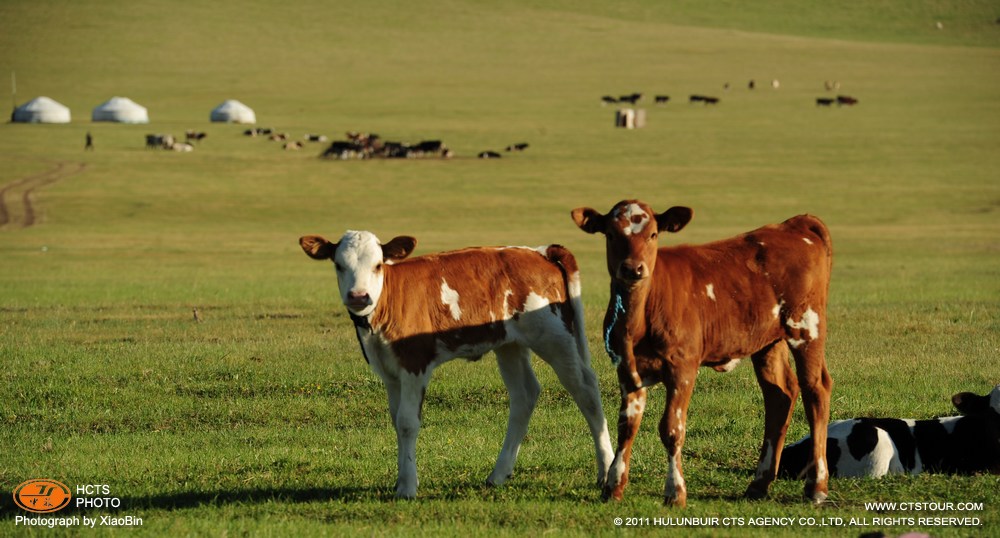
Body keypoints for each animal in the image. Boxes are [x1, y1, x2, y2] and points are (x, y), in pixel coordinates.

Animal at [296, 230, 612, 498]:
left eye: (377, 265)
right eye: (338, 265)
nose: (359, 296)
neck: (385, 307)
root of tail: (537, 251)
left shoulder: (414, 363)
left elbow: (407, 422)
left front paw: (407, 487)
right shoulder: (390, 372)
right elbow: (396, 420)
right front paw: (400, 479)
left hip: (555, 337)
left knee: (586, 390)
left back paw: (607, 469)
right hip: (509, 344)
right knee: (525, 395)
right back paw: (499, 473)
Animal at [572, 199, 836, 504]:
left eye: (653, 234)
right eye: (612, 234)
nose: (633, 269)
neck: (638, 319)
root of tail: (794, 224)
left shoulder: (683, 367)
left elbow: (672, 429)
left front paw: (675, 492)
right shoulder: (627, 371)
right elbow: (626, 426)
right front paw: (614, 486)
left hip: (807, 328)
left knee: (815, 391)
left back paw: (816, 486)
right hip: (768, 343)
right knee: (779, 395)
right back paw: (759, 483)